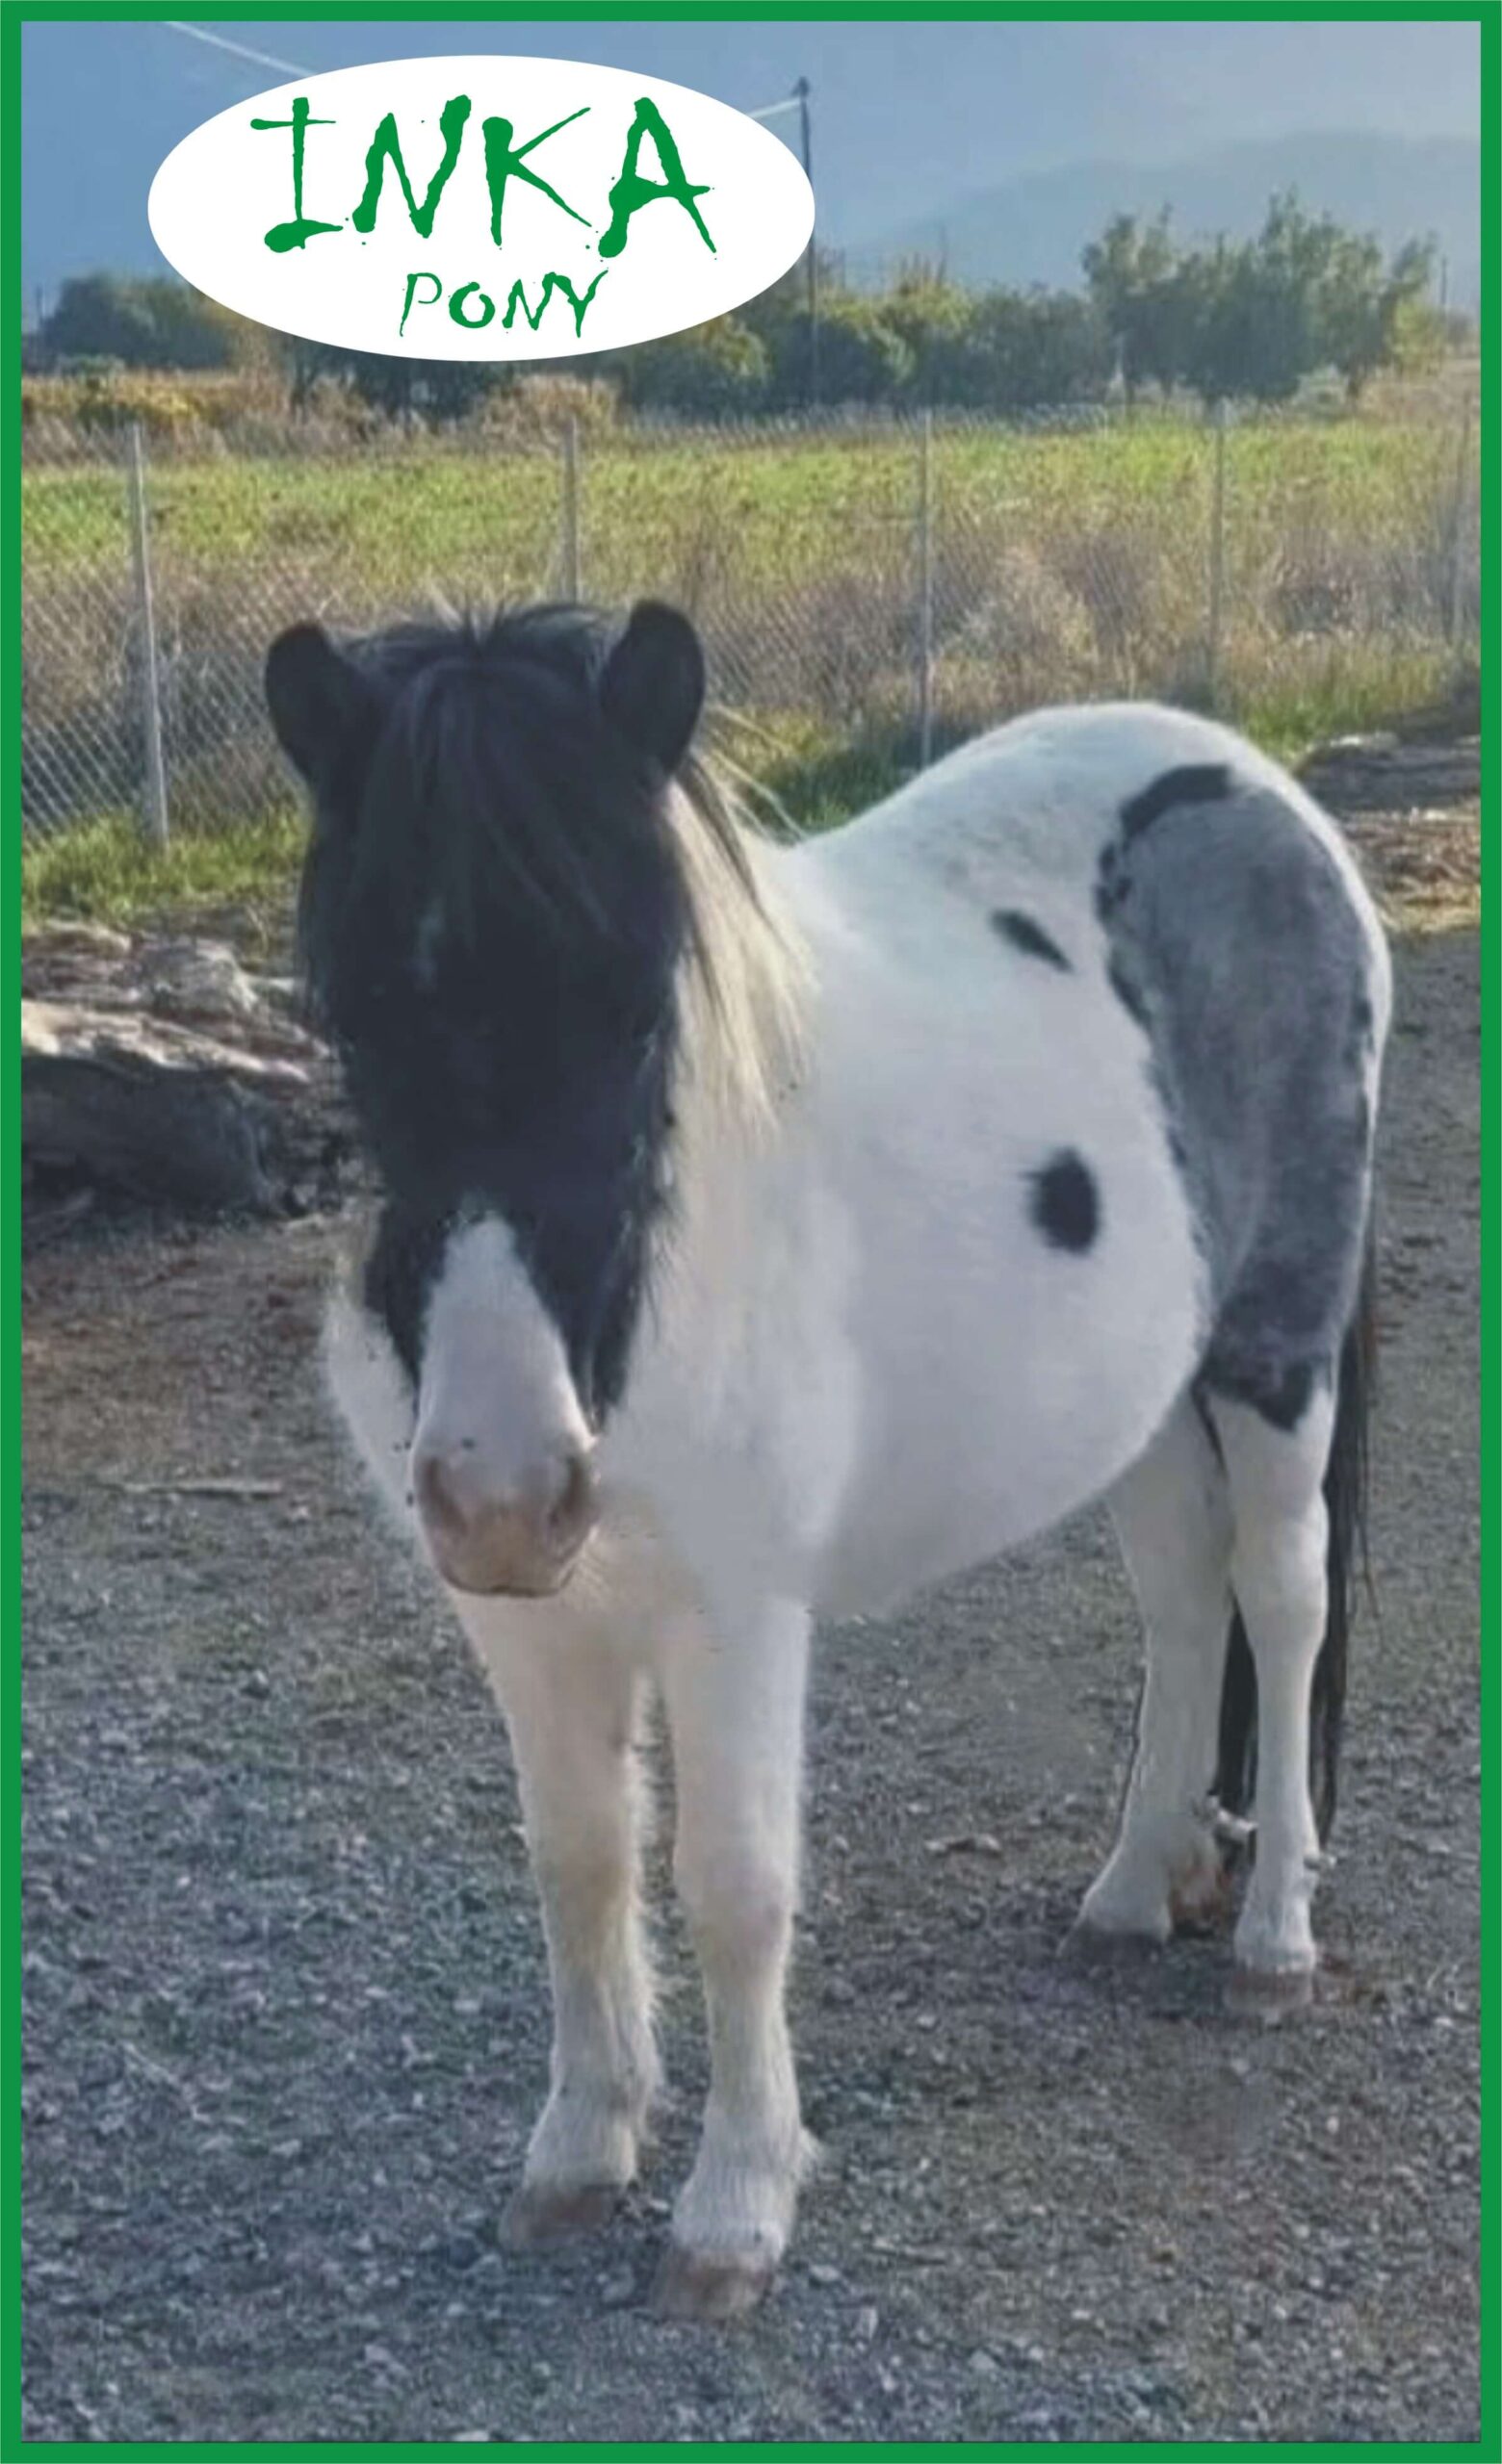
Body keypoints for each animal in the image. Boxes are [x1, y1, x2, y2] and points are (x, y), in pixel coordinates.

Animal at [265, 597, 1389, 2321]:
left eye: (639, 1014)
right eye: (352, 1017)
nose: (505, 1485)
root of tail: (1266, 798)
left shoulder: (736, 1614)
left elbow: (733, 1888)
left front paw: (736, 2207)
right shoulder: (531, 1623)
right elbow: (578, 1862)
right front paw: (580, 2149)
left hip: (1275, 1356)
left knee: (1281, 1600)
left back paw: (1272, 1944)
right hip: (1142, 1401)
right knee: (1186, 1606)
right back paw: (1136, 1891)